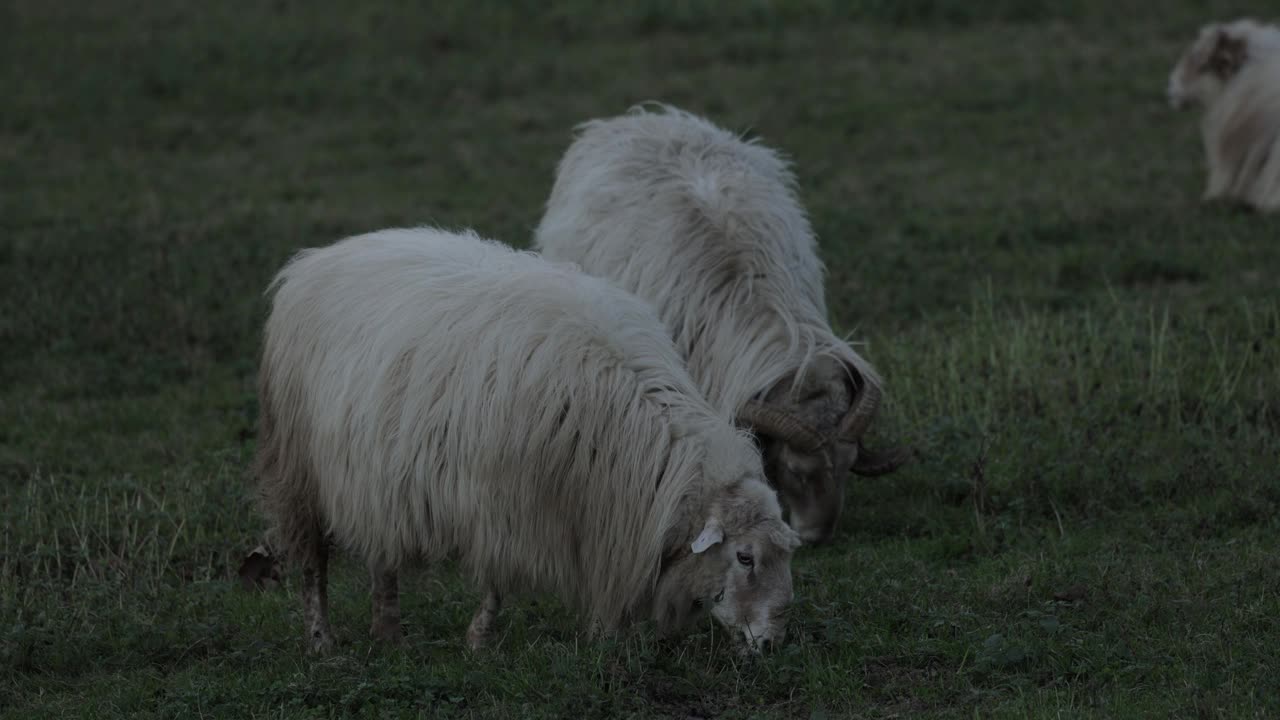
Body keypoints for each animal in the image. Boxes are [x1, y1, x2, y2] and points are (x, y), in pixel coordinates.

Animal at [250, 226, 798, 653]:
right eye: (745, 557)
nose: (773, 644)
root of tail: (317, 259)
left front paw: (603, 635)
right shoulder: (505, 498)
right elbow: (497, 579)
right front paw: (479, 640)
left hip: (374, 468)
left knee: (382, 550)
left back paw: (388, 634)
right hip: (299, 465)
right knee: (313, 561)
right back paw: (322, 644)